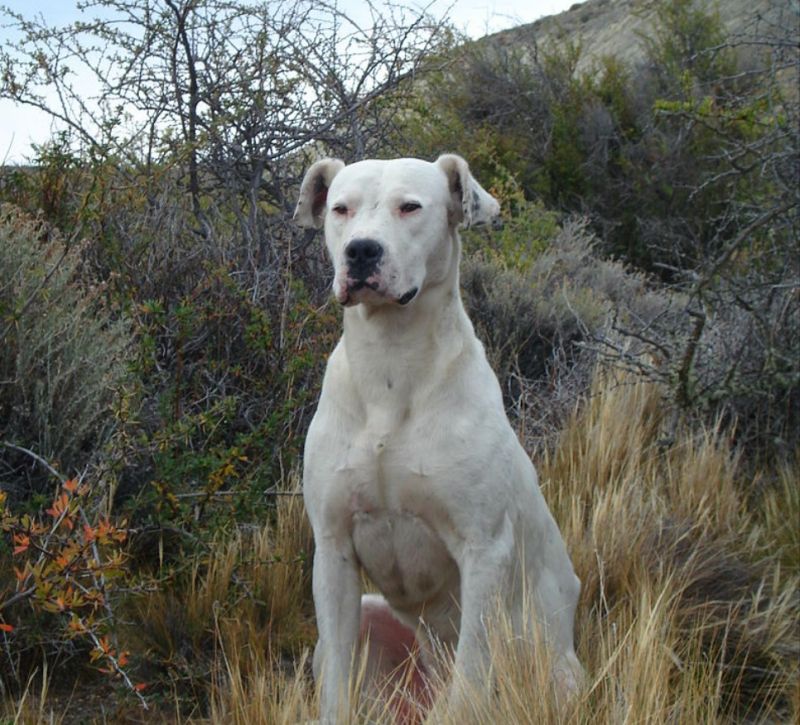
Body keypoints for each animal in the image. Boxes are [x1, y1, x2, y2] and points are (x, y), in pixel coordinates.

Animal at [294, 153, 580, 720]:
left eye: (411, 207)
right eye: (341, 208)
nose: (361, 251)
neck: (391, 366)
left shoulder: (484, 549)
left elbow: (472, 667)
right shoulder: (333, 549)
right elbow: (336, 681)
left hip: (561, 673)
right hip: (371, 621)